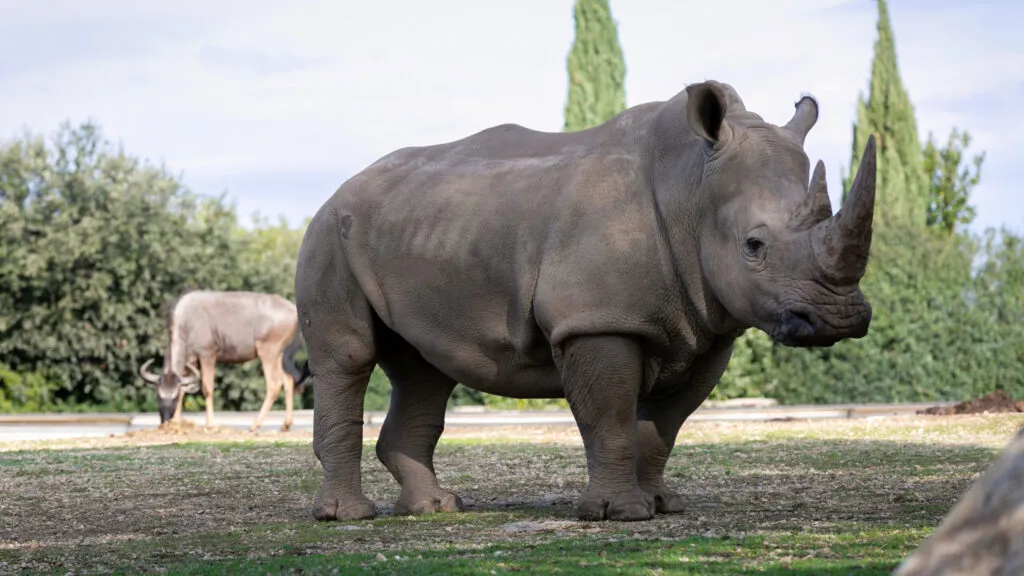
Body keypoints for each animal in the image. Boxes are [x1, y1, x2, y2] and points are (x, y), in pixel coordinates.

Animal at [294, 80, 877, 522]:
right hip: (328, 233)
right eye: (753, 246)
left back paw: (435, 509)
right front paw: (621, 514)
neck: (692, 186)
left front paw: (662, 505)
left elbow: (662, 426)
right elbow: (611, 416)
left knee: (423, 371)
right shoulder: (597, 320)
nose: (842, 318)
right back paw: (349, 517)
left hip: (413, 233)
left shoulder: (707, 327)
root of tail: (340, 188)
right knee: (348, 358)